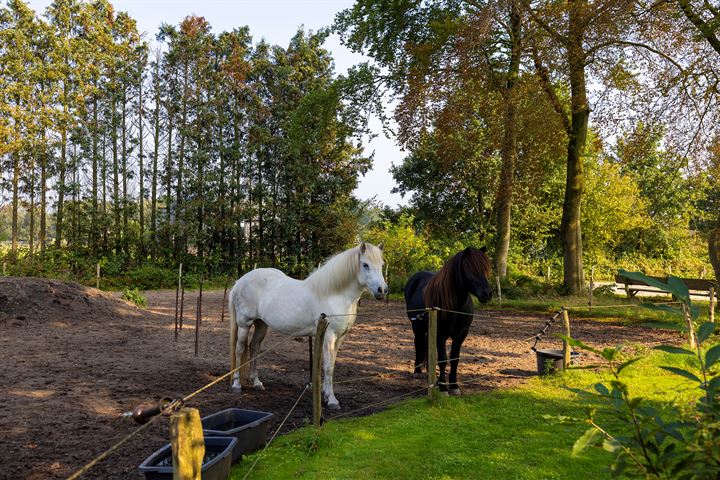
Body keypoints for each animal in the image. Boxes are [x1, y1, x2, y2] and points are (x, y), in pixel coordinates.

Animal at [231, 244, 388, 408]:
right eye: (365, 265)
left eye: (382, 265)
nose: (382, 290)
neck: (335, 295)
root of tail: (239, 282)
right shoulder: (329, 336)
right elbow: (328, 367)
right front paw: (332, 400)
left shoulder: (340, 338)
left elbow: (331, 365)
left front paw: (325, 395)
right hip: (244, 324)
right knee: (239, 349)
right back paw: (236, 385)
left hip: (261, 325)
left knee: (254, 347)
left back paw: (256, 382)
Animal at [402, 248, 492, 394]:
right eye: (470, 269)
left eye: (485, 269)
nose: (487, 294)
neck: (454, 307)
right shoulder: (441, 335)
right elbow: (443, 359)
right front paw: (443, 387)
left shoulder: (461, 334)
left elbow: (455, 358)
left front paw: (454, 385)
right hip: (417, 326)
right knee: (418, 344)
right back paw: (417, 371)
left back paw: (431, 376)